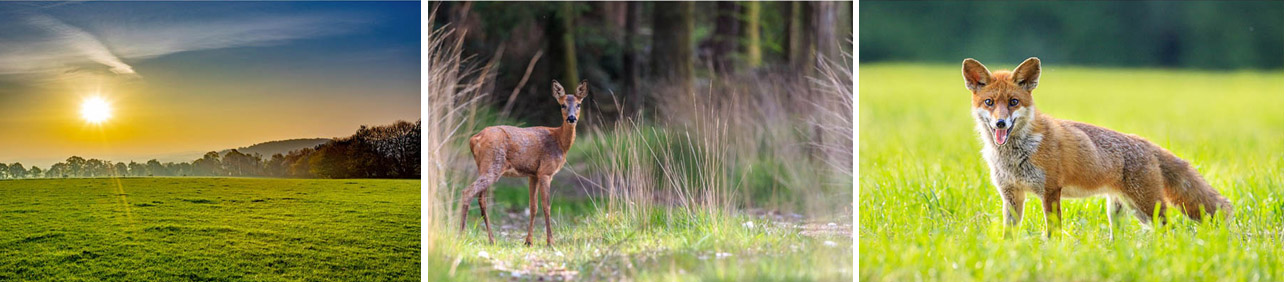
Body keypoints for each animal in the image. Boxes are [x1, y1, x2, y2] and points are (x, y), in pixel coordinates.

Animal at [457, 78, 588, 245]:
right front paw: (550, 242)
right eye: (562, 105)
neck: (560, 142)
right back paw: (461, 236)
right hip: (493, 164)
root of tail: (474, 139)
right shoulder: (546, 171)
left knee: (482, 199)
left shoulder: (533, 174)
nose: (571, 118)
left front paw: (528, 242)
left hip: (484, 166)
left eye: (579, 104)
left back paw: (492, 239)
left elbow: (533, 207)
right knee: (468, 192)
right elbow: (546, 206)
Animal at [961, 56, 1229, 235]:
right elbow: (1009, 235)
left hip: (1147, 206)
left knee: (1169, 231)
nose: (1000, 123)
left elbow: (1053, 233)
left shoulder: (1050, 190)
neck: (1015, 156)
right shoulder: (1011, 194)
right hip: (1123, 210)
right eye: (989, 102)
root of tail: (1142, 141)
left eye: (1014, 102)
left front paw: (1051, 255)